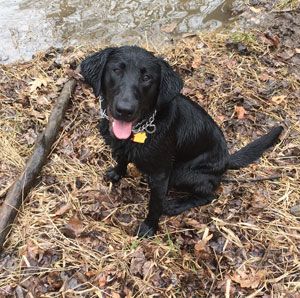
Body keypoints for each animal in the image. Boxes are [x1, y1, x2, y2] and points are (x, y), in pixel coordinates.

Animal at [81, 46, 282, 237]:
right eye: (116, 70)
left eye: (147, 77)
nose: (125, 110)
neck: (143, 127)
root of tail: (226, 160)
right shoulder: (122, 149)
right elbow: (122, 159)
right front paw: (116, 173)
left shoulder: (162, 174)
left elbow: (155, 205)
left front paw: (149, 228)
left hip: (181, 173)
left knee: (208, 195)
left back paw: (176, 204)